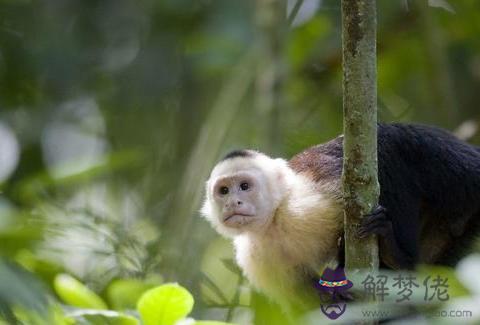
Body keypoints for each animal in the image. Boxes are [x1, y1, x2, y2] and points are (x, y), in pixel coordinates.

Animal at [201, 123, 480, 308]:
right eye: (223, 191)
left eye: (244, 186)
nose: (233, 202)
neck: (275, 220)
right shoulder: (258, 260)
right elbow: (310, 304)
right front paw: (334, 295)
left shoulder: (309, 202)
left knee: (390, 140)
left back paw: (399, 258)